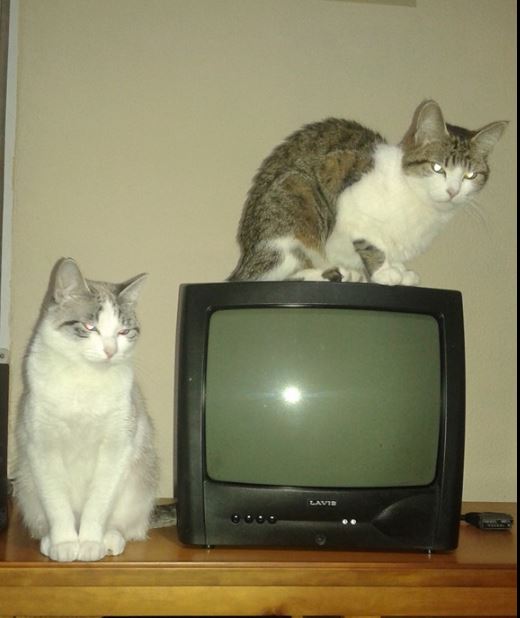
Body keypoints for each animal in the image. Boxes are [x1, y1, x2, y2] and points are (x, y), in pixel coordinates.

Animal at [13, 258, 159, 562]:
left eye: (123, 332)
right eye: (90, 326)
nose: (110, 350)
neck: (85, 378)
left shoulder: (116, 446)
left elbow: (99, 504)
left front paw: (90, 543)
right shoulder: (43, 445)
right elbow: (57, 505)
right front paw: (65, 544)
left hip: (139, 482)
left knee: (126, 525)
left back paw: (109, 540)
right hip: (27, 485)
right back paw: (48, 541)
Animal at [228, 100, 507, 285]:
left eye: (470, 175)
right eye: (438, 168)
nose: (453, 191)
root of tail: (247, 256)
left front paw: (400, 270)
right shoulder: (349, 199)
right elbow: (372, 241)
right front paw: (384, 271)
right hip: (297, 198)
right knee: (269, 277)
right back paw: (336, 274)